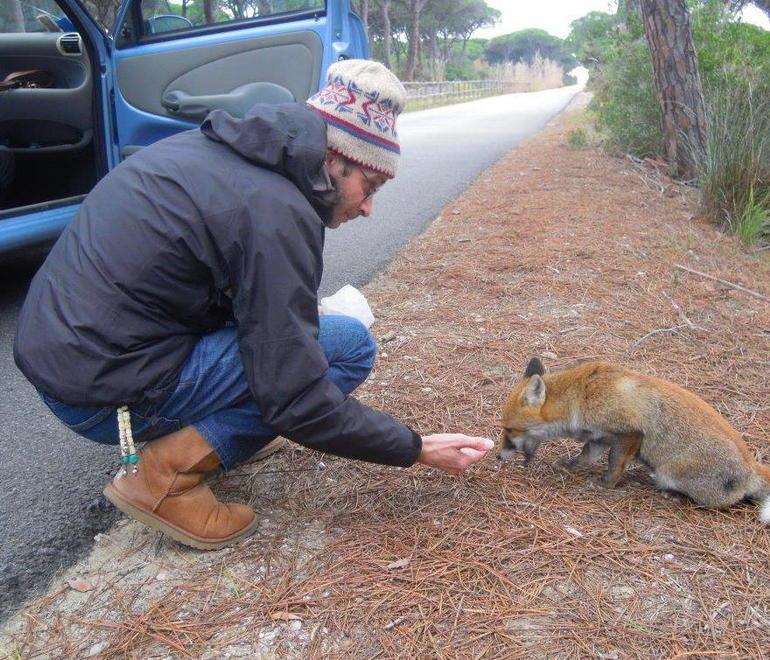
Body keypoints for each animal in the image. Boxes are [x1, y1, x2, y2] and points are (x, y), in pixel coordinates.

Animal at [499, 357, 770, 525]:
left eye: (509, 429)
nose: (499, 456)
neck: (582, 395)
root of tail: (751, 466)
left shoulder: (630, 434)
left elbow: (614, 463)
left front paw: (606, 484)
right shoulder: (600, 436)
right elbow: (585, 456)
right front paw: (570, 466)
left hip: (669, 472)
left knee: (719, 503)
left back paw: (676, 496)